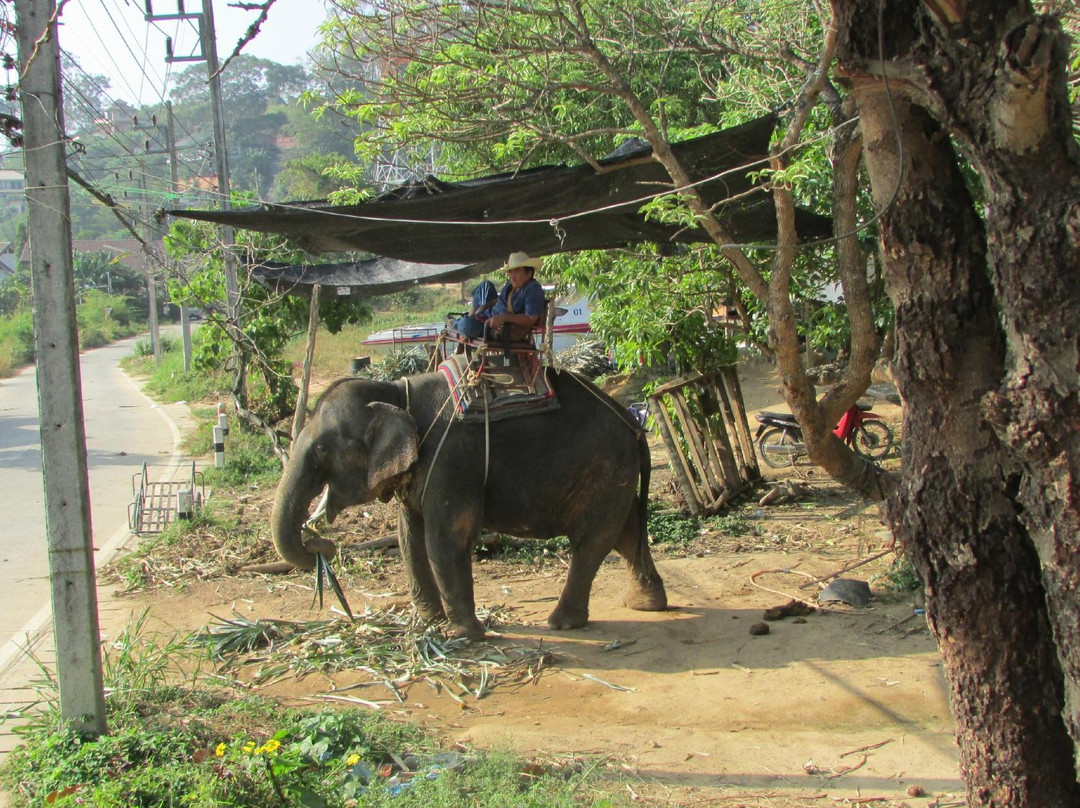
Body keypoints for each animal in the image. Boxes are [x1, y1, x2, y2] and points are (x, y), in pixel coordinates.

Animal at [270, 369, 665, 639]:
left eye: (322, 451)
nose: (322, 542)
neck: (395, 392)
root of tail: (634, 423)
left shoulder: (451, 461)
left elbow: (446, 538)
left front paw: (464, 636)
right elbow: (409, 536)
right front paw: (429, 623)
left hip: (604, 468)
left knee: (592, 541)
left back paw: (561, 623)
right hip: (615, 474)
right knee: (626, 531)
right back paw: (646, 605)